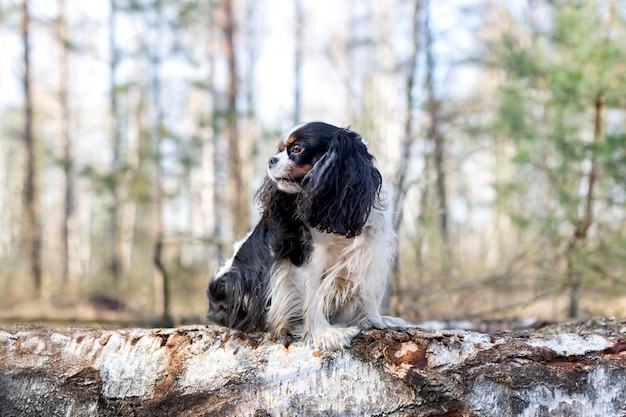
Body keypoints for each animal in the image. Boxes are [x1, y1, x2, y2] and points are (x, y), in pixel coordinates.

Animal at [205, 120, 404, 348]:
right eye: (280, 150)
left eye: (297, 149)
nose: (271, 160)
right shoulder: (308, 257)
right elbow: (313, 295)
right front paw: (325, 334)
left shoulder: (369, 250)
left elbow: (366, 291)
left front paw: (375, 320)